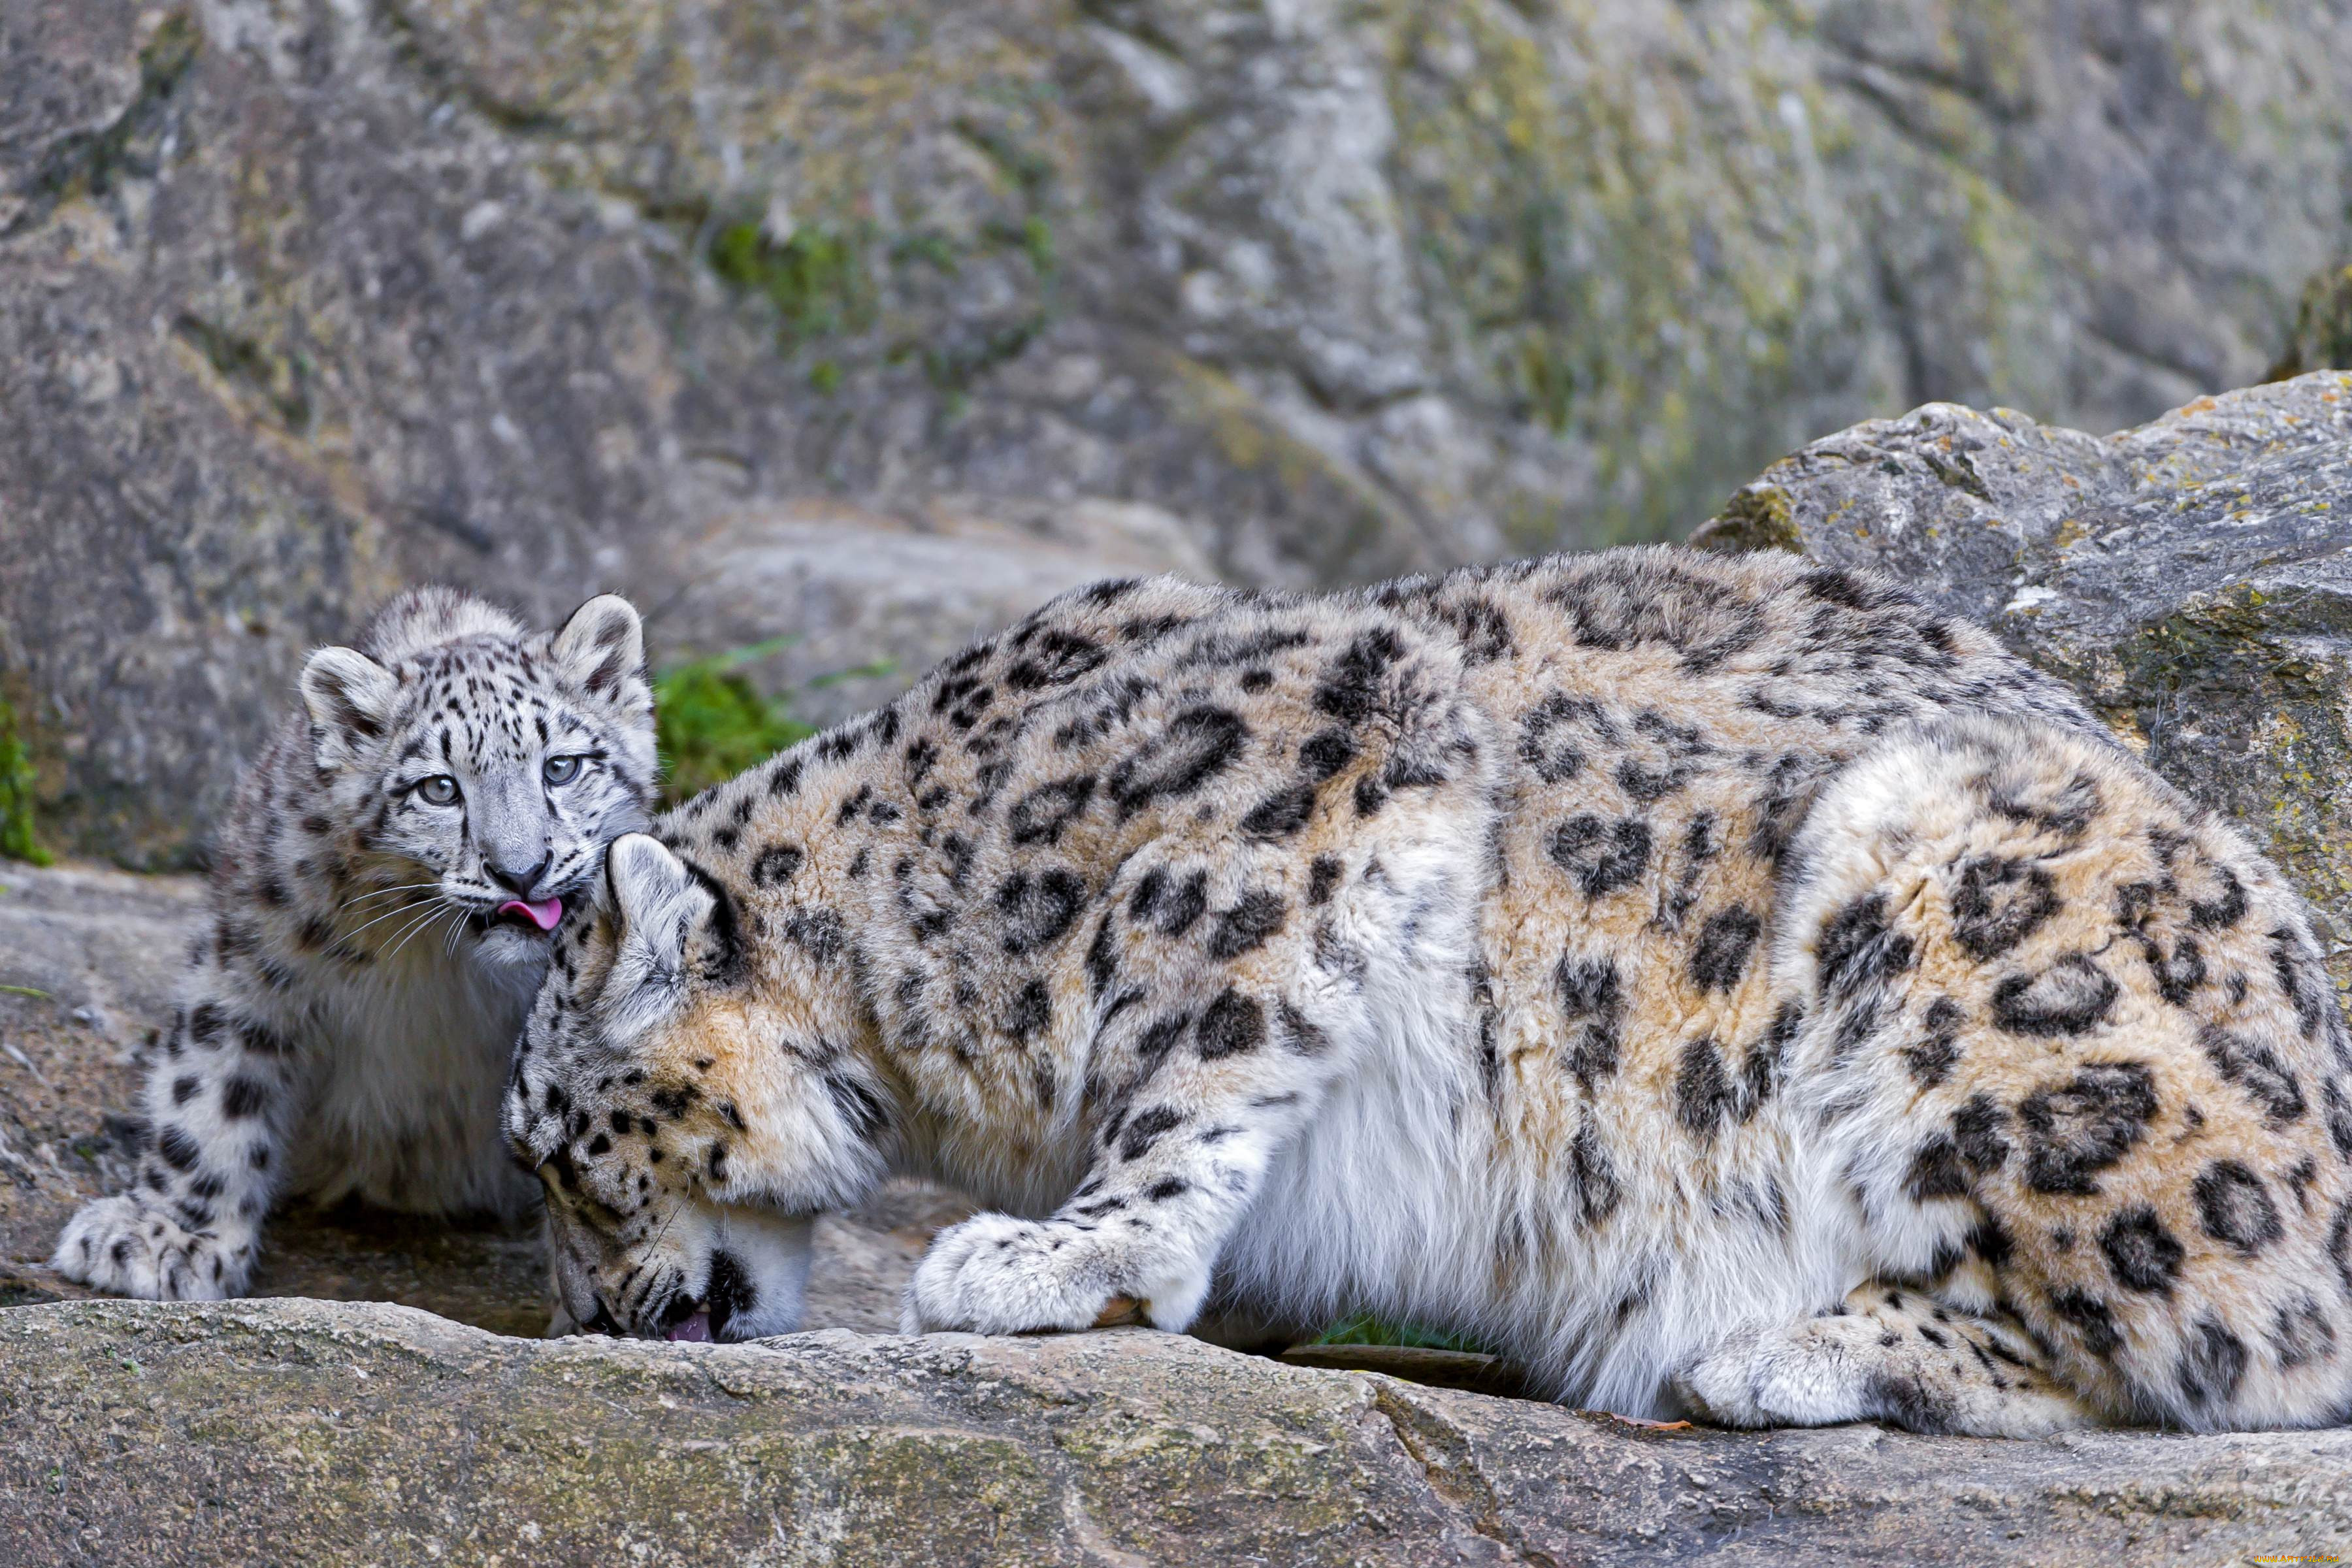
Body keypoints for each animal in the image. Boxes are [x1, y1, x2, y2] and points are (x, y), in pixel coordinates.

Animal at [57, 587, 663, 1298]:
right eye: (439, 788)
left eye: (561, 768)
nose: (520, 871)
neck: (447, 967)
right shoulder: (253, 960)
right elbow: (209, 1086)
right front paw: (169, 1236)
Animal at [506, 552, 2342, 1439]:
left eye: (560, 1156)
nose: (593, 1321)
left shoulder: (1306, 769)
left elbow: (1197, 1054)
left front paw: (1055, 1256)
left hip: (1962, 922)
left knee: (2235, 1337)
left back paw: (1773, 1346)